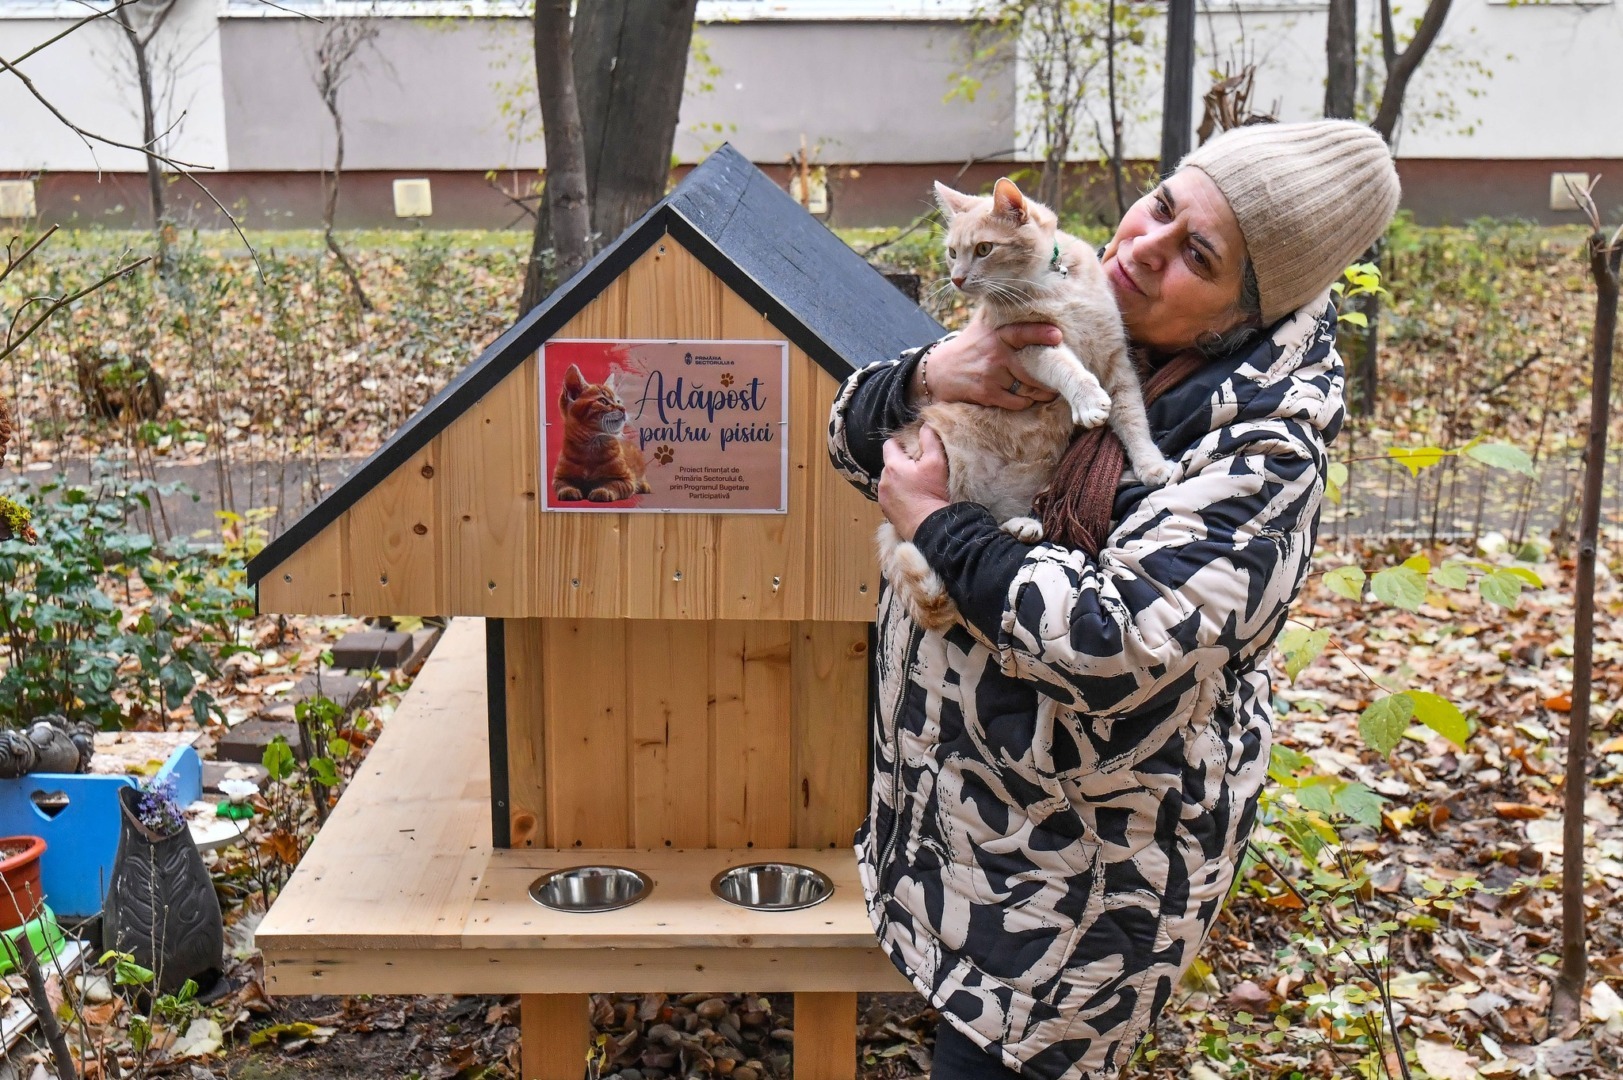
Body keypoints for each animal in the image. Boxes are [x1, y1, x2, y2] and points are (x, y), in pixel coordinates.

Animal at [551, 357, 652, 500]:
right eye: (603, 401)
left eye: (618, 401)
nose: (623, 408)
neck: (592, 444)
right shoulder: (559, 477)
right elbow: (562, 484)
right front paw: (568, 490)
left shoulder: (627, 479)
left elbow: (614, 484)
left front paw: (603, 491)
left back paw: (644, 485)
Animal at [882, 177, 1175, 633]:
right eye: (952, 252)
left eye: (984, 248)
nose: (957, 279)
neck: (1054, 284)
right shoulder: (1032, 349)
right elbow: (1069, 368)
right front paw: (1088, 401)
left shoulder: (1116, 360)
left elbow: (1132, 417)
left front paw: (1150, 464)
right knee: (959, 514)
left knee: (997, 518)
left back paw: (1023, 525)